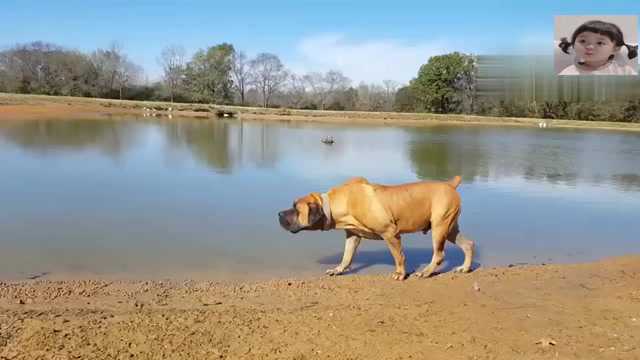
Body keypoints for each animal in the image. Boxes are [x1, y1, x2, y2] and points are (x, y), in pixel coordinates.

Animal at [280, 176, 476, 280]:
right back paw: (465, 268)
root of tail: (450, 184)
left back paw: (426, 272)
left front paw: (400, 274)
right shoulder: (352, 236)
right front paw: (338, 269)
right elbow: (346, 256)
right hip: (449, 228)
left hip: (439, 227)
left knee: (439, 254)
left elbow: (398, 256)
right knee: (468, 244)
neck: (336, 204)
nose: (279, 214)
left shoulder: (390, 233)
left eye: (296, 209)